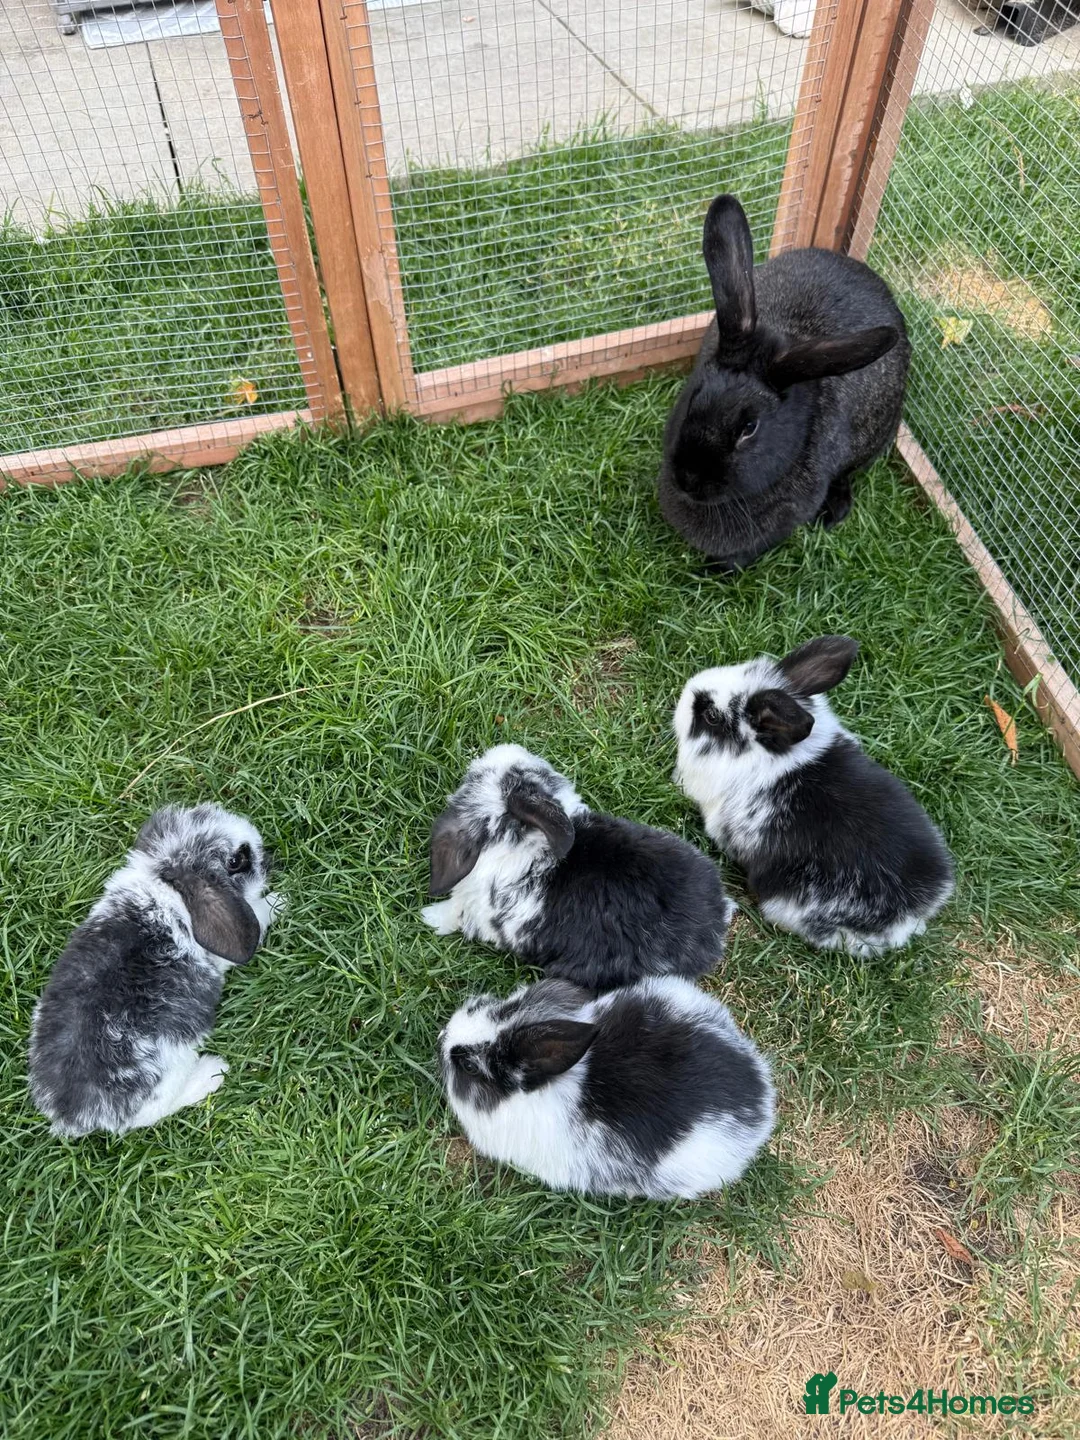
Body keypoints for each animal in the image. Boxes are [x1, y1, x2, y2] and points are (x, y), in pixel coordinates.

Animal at [29, 804, 280, 1137]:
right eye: (236, 861)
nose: (268, 855)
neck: (168, 886)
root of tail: (74, 1114)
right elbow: (260, 913)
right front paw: (278, 901)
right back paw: (213, 1070)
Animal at [421, 743, 735, 990]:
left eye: (482, 777)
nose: (499, 750)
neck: (522, 842)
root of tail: (714, 929)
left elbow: (457, 910)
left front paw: (429, 917)